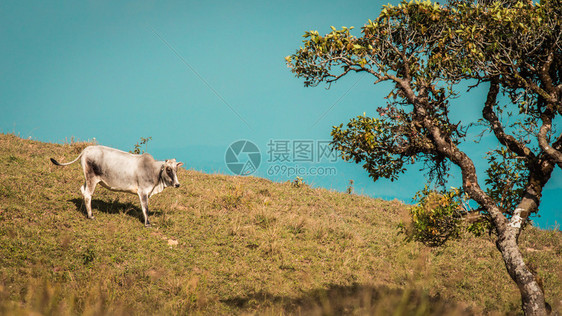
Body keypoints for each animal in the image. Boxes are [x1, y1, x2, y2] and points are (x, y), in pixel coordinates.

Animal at [49, 146, 182, 227]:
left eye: (176, 169)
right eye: (168, 169)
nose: (177, 184)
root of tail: (87, 149)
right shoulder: (143, 191)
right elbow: (145, 208)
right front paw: (147, 223)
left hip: (88, 179)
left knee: (83, 190)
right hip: (92, 178)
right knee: (88, 195)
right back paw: (91, 216)